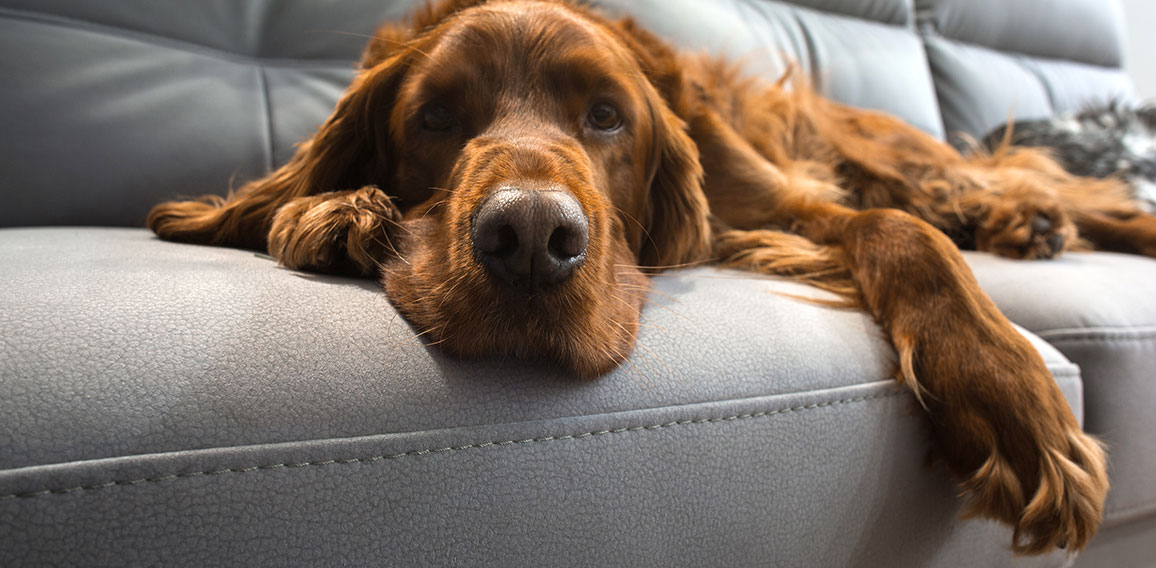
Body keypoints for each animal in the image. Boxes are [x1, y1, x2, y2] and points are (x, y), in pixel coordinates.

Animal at [151, 0, 1156, 557]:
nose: (529, 239)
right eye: (435, 117)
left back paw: (1044, 220)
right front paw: (336, 213)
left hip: (883, 153)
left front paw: (1011, 401)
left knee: (1011, 190)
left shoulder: (780, 201)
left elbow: (900, 233)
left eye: (607, 116)